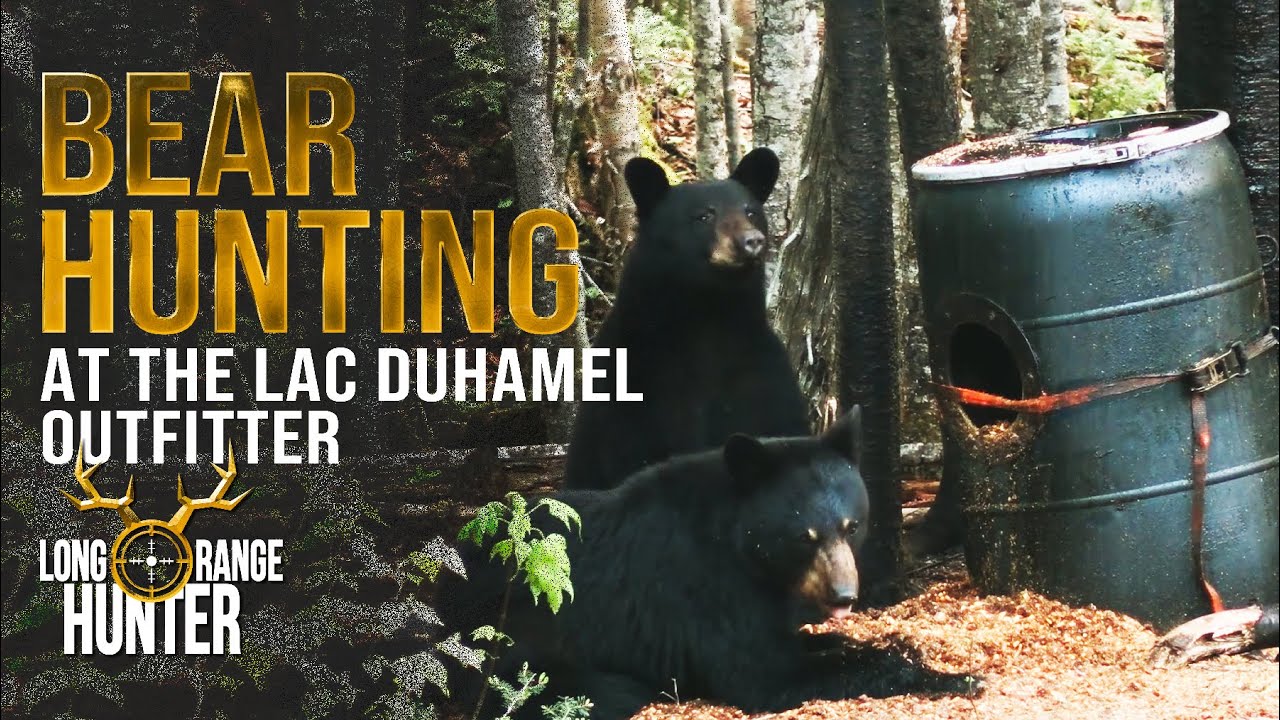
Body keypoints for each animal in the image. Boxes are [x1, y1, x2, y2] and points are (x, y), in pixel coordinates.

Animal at [478, 408, 977, 719]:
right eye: (804, 536)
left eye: (852, 526)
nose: (844, 596)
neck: (737, 543)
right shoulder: (703, 587)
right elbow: (763, 672)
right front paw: (955, 675)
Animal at [562, 147, 810, 491]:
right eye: (704, 216)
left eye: (750, 212)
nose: (752, 241)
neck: (707, 314)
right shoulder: (638, 386)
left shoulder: (760, 371)